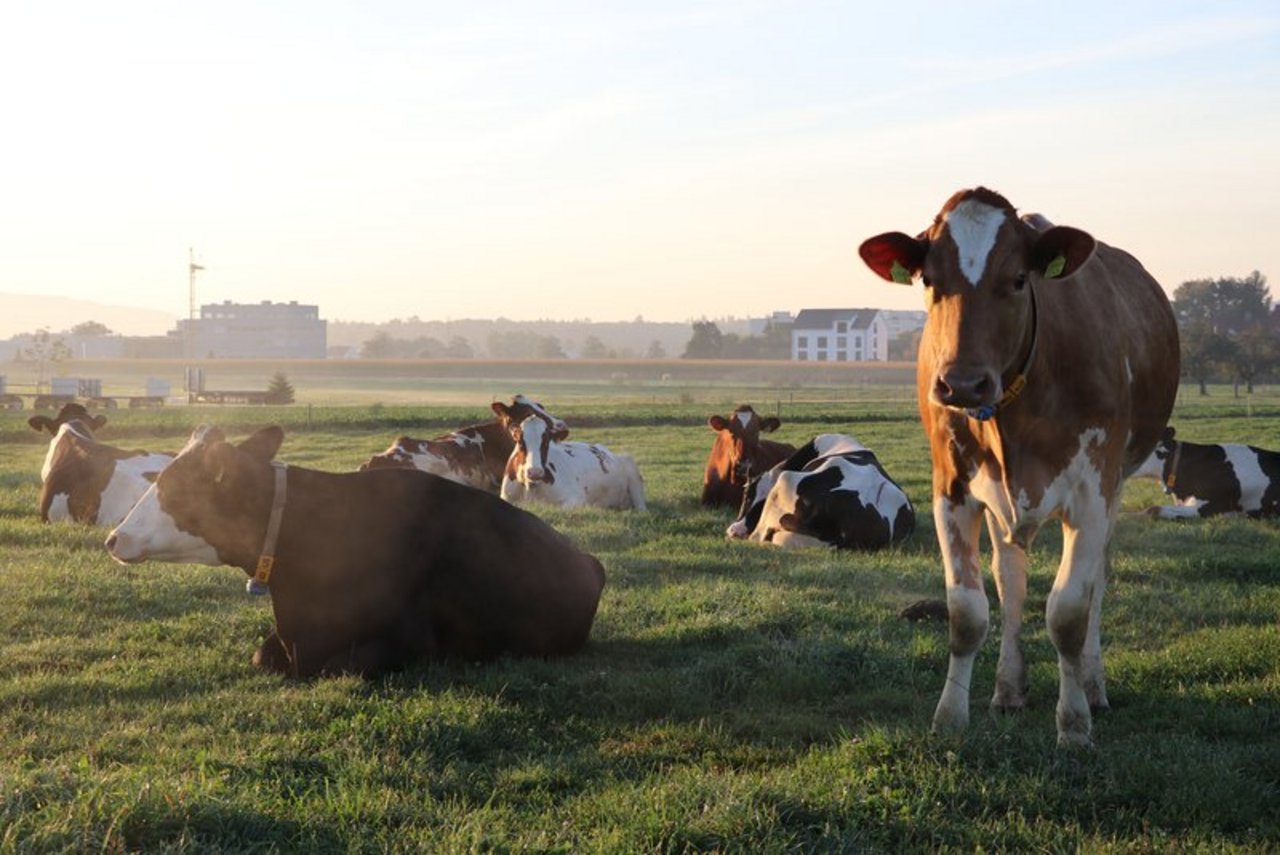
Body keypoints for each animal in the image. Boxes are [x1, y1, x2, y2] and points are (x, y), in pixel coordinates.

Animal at [104, 424, 604, 675]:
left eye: (174, 490)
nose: (113, 539)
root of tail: (587, 559)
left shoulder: (409, 640)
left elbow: (344, 665)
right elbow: (262, 656)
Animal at [496, 412, 645, 506]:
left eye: (546, 442)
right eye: (520, 442)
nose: (535, 472)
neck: (530, 487)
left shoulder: (577, 499)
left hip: (632, 471)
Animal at [860, 185, 1177, 742]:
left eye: (1017, 280)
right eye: (929, 280)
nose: (962, 384)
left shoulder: (1092, 491)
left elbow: (1069, 612)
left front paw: (1074, 724)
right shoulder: (952, 489)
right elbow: (967, 611)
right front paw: (950, 717)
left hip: (1116, 483)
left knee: (1097, 582)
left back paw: (1092, 686)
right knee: (1010, 578)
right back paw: (1008, 688)